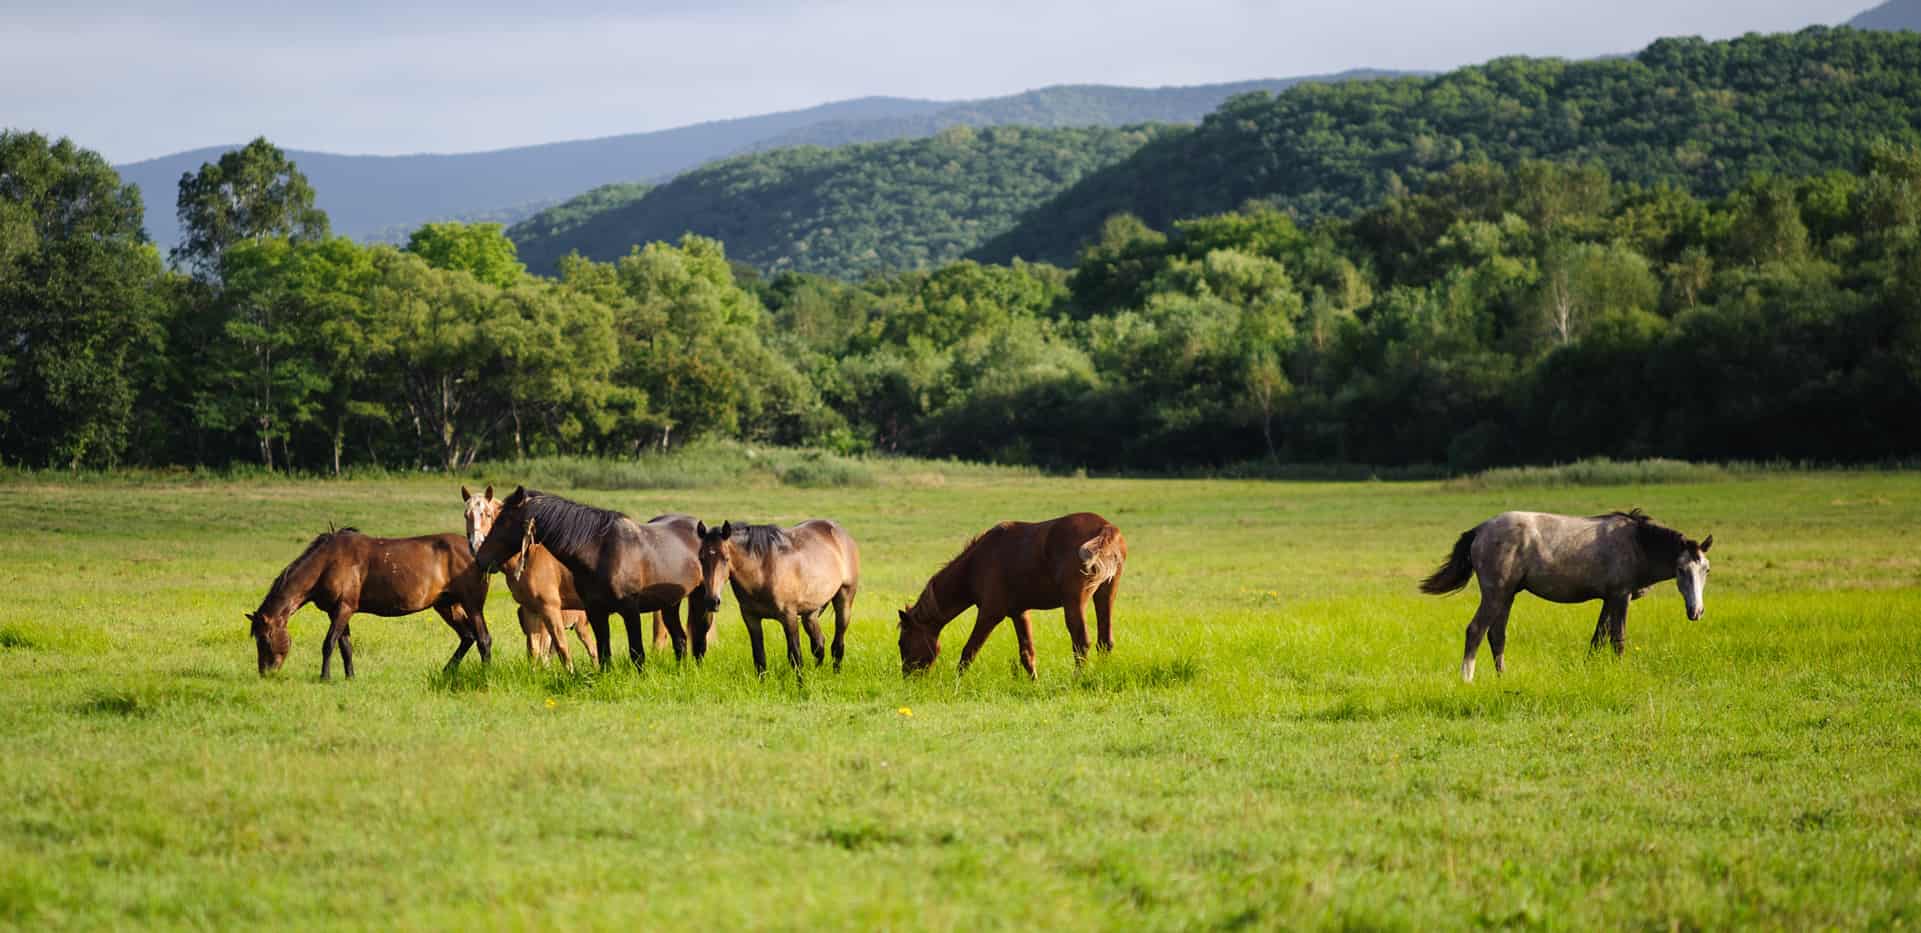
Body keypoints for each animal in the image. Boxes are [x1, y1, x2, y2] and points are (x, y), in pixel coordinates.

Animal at [243, 533, 495, 679]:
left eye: (264, 639)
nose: (265, 673)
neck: (327, 562)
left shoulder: (344, 608)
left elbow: (329, 643)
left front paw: (324, 677)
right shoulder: (337, 611)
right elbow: (345, 646)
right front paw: (350, 677)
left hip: (472, 605)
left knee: (483, 639)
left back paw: (485, 674)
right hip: (446, 605)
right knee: (468, 637)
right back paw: (446, 671)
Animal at [472, 487, 706, 671]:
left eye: (503, 520)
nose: (480, 558)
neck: (602, 552)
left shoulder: (630, 610)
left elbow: (636, 652)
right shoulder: (595, 611)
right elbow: (602, 653)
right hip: (670, 604)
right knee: (680, 640)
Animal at [695, 518, 860, 679]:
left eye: (726, 558)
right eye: (701, 558)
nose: (712, 601)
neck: (763, 571)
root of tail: (840, 533)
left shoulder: (789, 617)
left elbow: (795, 657)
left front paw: (801, 686)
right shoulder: (751, 618)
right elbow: (759, 659)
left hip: (844, 600)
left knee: (837, 645)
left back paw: (836, 676)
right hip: (811, 612)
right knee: (818, 645)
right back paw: (817, 675)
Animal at [899, 510, 1121, 679]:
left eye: (903, 642)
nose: (908, 678)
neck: (975, 564)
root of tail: (1105, 527)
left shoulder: (990, 614)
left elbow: (969, 651)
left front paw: (956, 683)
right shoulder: (1019, 613)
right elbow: (1027, 653)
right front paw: (1034, 683)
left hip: (1075, 602)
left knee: (1082, 642)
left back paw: (1077, 679)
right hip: (1106, 594)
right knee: (1105, 641)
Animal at [1421, 506, 1721, 683]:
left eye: (1706, 569)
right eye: (1681, 569)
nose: (1696, 612)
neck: (1638, 544)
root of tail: (1480, 529)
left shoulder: (1608, 598)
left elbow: (1597, 638)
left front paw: (1590, 670)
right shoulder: (1620, 596)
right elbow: (1618, 639)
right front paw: (1620, 672)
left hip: (1507, 595)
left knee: (1497, 635)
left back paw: (1501, 678)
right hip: (1495, 593)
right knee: (1475, 631)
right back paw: (1467, 679)